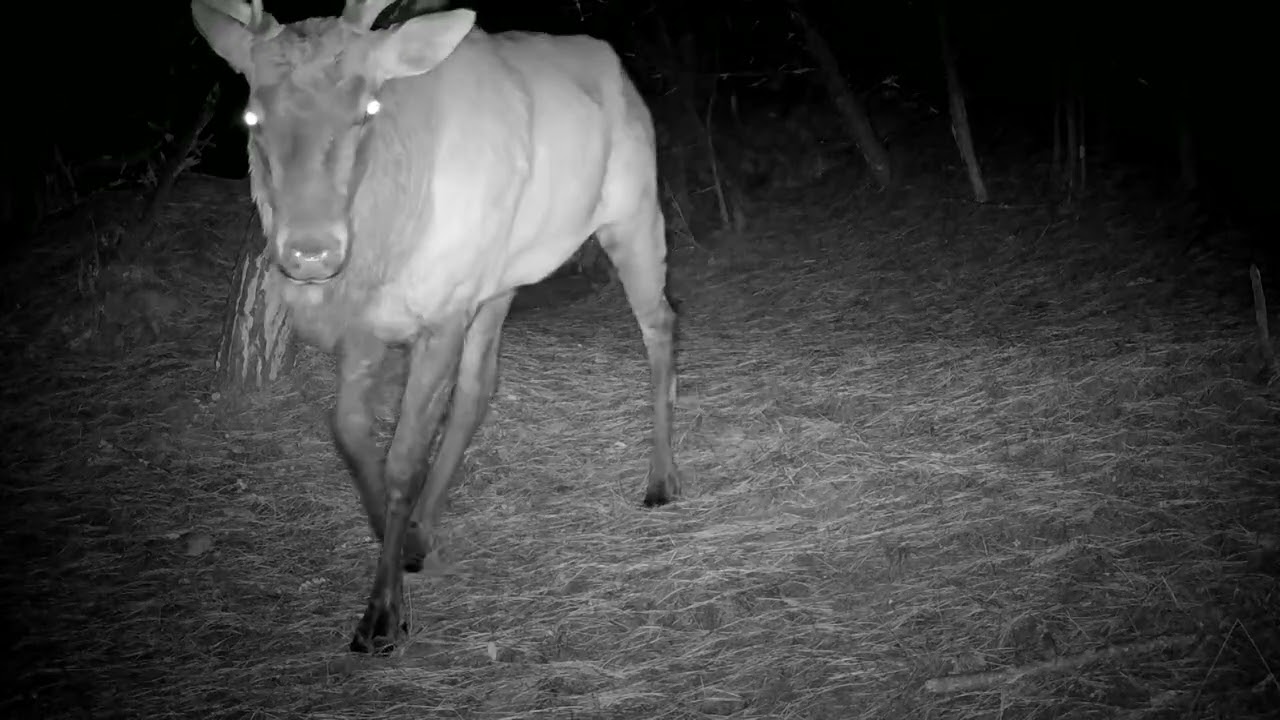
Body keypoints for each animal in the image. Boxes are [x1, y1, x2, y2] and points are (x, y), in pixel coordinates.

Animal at [191, 0, 681, 653]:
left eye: (368, 108)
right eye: (251, 115)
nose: (311, 252)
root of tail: (622, 74)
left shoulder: (442, 311)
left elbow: (403, 457)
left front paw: (381, 615)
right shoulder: (369, 326)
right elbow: (349, 433)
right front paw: (406, 546)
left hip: (634, 211)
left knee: (661, 323)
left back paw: (662, 478)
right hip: (498, 277)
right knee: (480, 387)